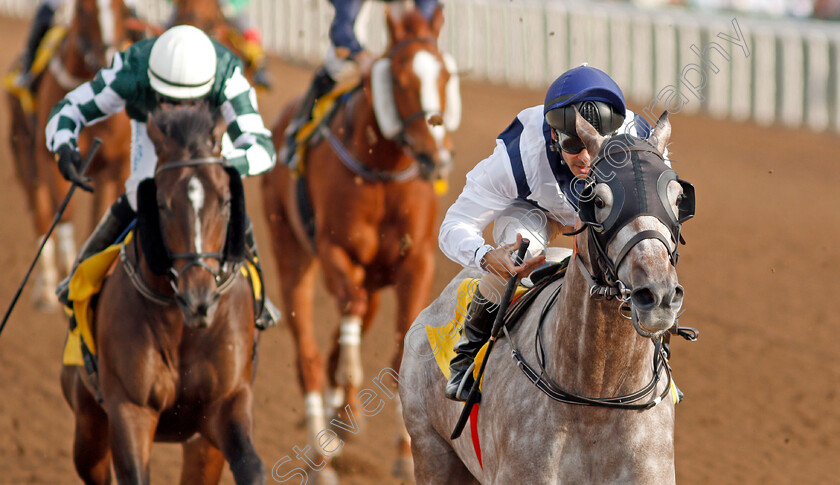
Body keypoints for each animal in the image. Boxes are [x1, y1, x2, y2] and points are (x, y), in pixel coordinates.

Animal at [6, 0, 132, 310]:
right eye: (85, 11)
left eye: (123, 9)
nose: (106, 58)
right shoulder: (47, 161)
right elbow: (64, 215)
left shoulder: (119, 163)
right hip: (24, 158)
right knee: (40, 214)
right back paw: (45, 285)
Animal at [60, 104, 264, 482]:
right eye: (163, 204)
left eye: (226, 202)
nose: (199, 300)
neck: (181, 326)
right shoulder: (129, 408)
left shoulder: (225, 404)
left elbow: (252, 467)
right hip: (88, 419)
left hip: (201, 447)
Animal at [262, 5, 460, 482]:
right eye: (401, 80)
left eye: (444, 75)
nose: (437, 157)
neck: (384, 169)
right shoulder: (334, 250)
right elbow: (348, 310)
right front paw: (350, 380)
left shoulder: (417, 261)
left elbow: (400, 348)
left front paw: (404, 452)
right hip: (292, 253)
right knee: (310, 355)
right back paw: (320, 455)